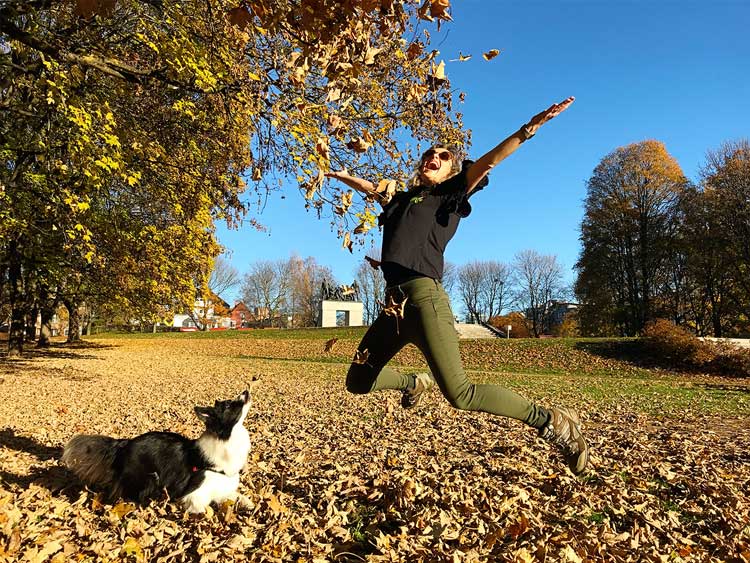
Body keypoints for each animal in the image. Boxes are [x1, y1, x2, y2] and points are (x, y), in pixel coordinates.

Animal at [61, 392, 253, 516]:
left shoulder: (223, 487)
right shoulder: (193, 495)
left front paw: (249, 504)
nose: (246, 391)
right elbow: (204, 511)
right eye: (228, 404)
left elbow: (238, 496)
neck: (226, 439)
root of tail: (125, 443)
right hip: (150, 478)